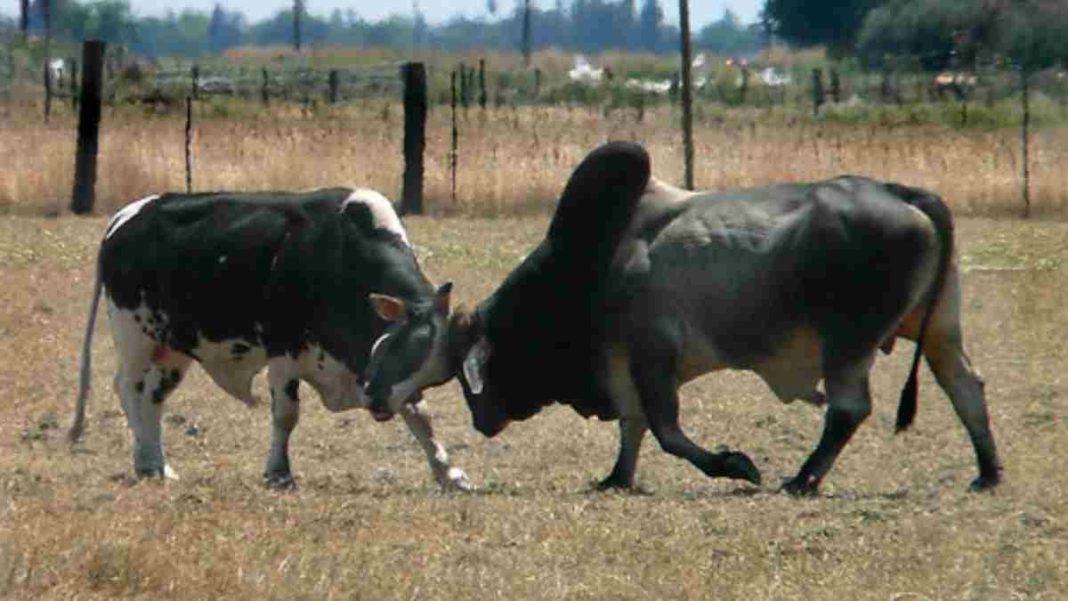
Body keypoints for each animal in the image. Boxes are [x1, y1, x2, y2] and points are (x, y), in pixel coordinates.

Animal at [71, 187, 472, 493]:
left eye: (427, 366)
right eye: (399, 346)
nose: (374, 399)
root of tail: (129, 213)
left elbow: (419, 413)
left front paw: (448, 473)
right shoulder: (283, 353)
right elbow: (286, 415)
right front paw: (279, 472)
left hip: (172, 346)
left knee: (154, 398)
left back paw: (157, 463)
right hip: (134, 337)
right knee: (129, 389)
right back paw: (145, 459)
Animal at [365, 143, 999, 495]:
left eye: (418, 347)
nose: (371, 393)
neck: (590, 264)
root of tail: (905, 194)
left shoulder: (653, 355)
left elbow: (666, 431)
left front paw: (735, 465)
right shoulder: (621, 365)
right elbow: (632, 427)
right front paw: (616, 479)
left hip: (847, 342)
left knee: (849, 410)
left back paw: (802, 479)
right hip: (938, 329)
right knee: (965, 385)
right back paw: (987, 472)